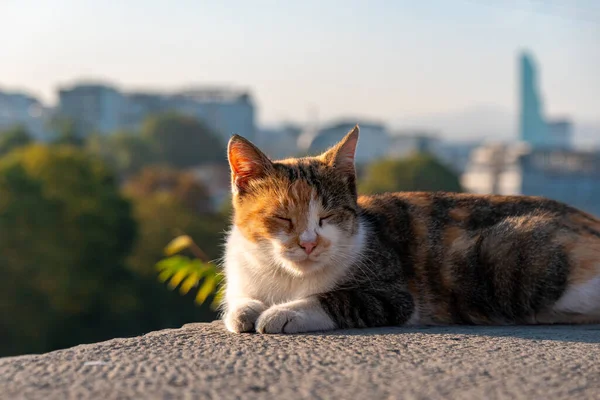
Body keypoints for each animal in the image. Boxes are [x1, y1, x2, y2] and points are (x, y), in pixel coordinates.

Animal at [220, 126, 600, 332]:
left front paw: (284, 312)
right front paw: (244, 311)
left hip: (507, 257)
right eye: (283, 218)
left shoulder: (393, 294)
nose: (309, 244)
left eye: (328, 216)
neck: (288, 278)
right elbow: (239, 301)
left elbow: (339, 299)